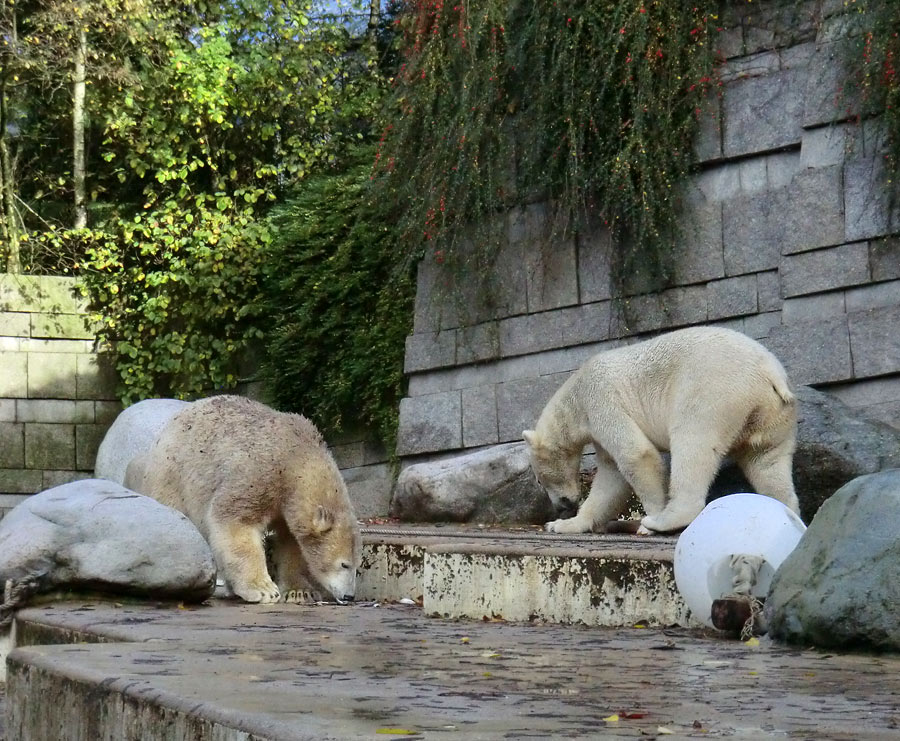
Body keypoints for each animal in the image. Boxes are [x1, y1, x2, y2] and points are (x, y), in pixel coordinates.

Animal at [131, 396, 362, 604]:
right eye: (344, 565)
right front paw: (263, 589)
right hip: (174, 475)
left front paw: (301, 592)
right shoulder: (258, 475)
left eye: (357, 565)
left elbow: (291, 543)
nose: (349, 596)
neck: (295, 456)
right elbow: (235, 523)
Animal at [524, 326, 800, 536]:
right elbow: (610, 477)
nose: (562, 505)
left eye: (539, 479)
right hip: (772, 414)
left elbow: (636, 455)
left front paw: (649, 522)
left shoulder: (601, 400)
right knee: (766, 462)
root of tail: (768, 369)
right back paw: (786, 511)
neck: (575, 399)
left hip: (713, 391)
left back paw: (665, 521)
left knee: (693, 444)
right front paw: (562, 525)